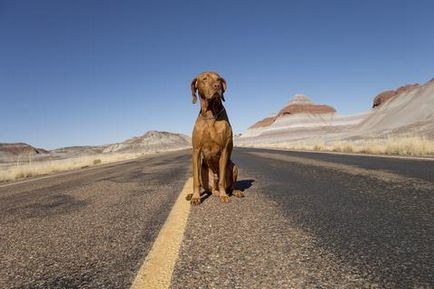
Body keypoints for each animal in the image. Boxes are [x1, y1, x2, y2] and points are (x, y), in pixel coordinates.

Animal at [187, 70, 244, 204]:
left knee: (230, 185)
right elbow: (196, 180)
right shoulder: (196, 151)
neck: (210, 114)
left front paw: (224, 196)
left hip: (233, 166)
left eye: (218, 79)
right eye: (205, 79)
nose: (217, 86)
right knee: (211, 189)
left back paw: (233, 192)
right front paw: (196, 196)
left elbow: (222, 179)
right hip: (204, 170)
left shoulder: (224, 150)